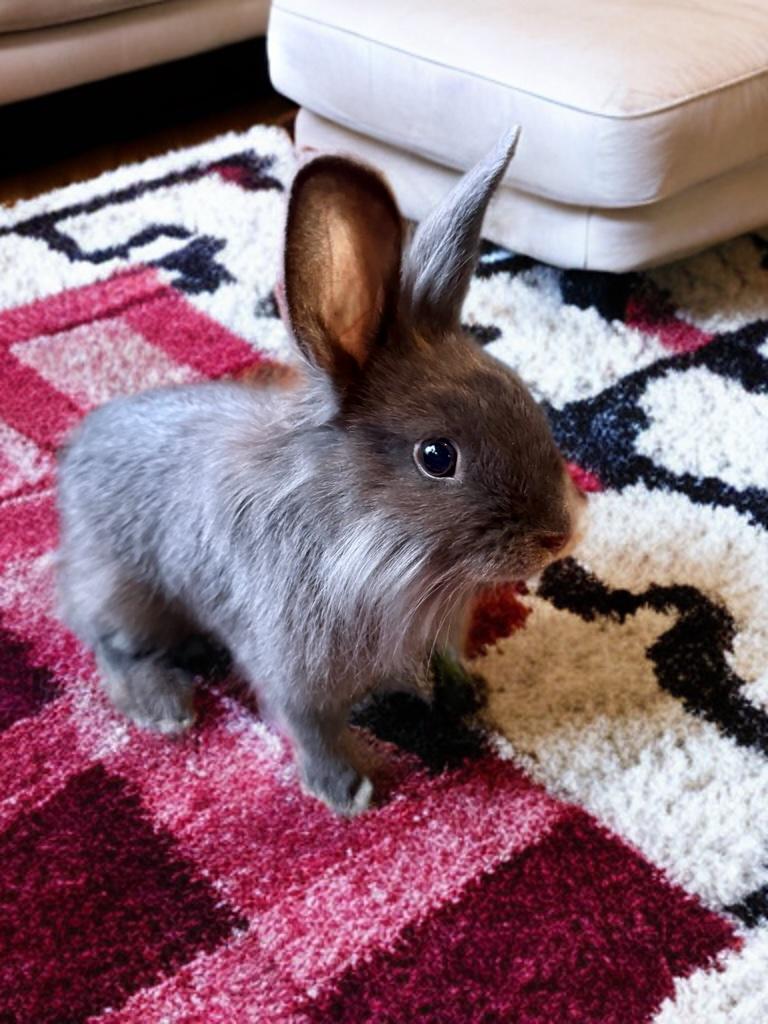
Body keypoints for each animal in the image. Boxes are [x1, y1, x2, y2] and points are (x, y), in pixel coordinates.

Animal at [56, 130, 584, 816]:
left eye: (523, 393)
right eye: (437, 457)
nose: (561, 534)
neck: (374, 552)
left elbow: (441, 662)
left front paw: (469, 695)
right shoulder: (293, 665)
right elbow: (312, 724)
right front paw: (348, 791)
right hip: (126, 593)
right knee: (107, 644)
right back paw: (165, 705)